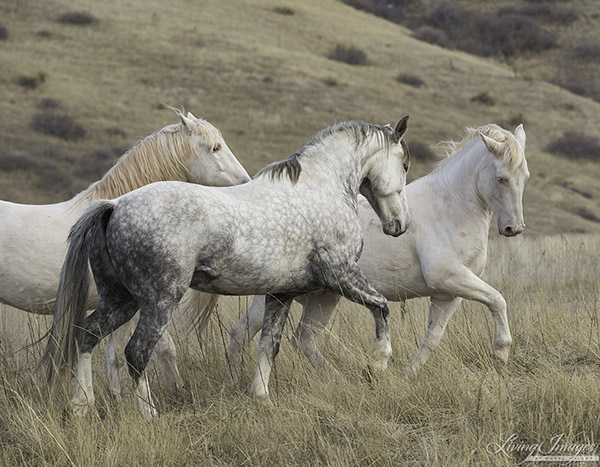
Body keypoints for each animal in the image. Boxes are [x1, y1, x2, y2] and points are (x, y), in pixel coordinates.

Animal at [0, 109, 248, 392]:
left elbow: (113, 355)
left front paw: (114, 394)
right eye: (215, 147)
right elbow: (157, 349)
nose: (246, 183)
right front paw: (175, 389)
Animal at [44, 119, 412, 418]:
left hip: (122, 300)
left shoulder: (282, 293)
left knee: (88, 335)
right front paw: (378, 364)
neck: (320, 187)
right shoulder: (342, 276)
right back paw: (148, 414)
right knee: (136, 352)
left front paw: (261, 397)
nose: (400, 224)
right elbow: (381, 308)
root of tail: (114, 205)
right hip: (159, 302)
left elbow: (268, 345)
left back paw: (81, 405)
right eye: (405, 165)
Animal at [227, 123, 528, 380]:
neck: (452, 206)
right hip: (277, 296)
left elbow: (433, 339)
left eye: (524, 177)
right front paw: (500, 354)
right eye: (501, 178)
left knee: (303, 340)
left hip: (322, 298)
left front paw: (406, 376)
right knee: (244, 333)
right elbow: (498, 300)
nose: (514, 228)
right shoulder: (448, 277)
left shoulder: (448, 295)